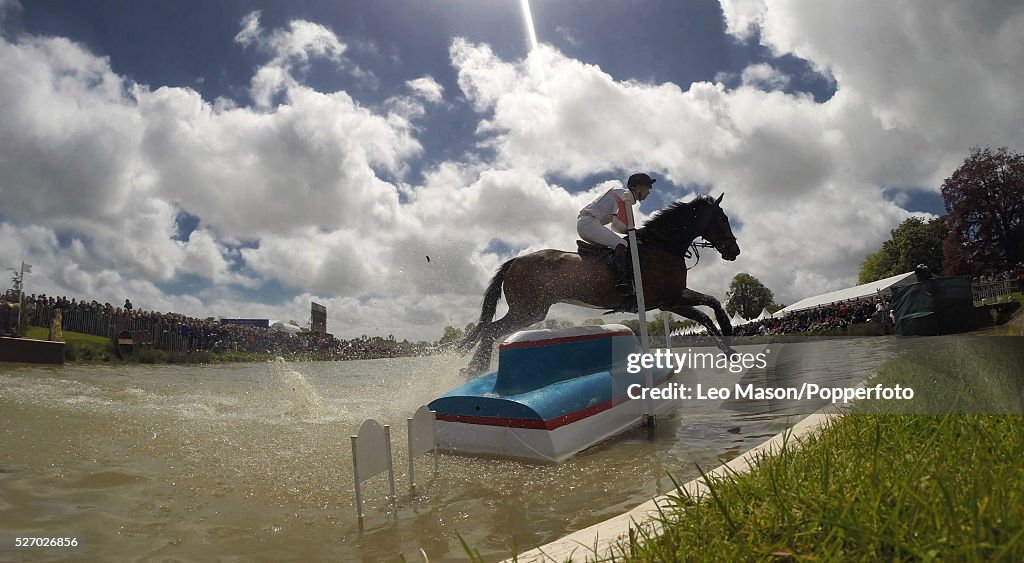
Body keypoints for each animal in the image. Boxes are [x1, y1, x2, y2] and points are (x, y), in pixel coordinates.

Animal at [460, 194, 741, 374]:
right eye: (722, 219)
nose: (734, 251)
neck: (663, 246)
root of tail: (515, 260)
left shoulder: (675, 296)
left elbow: (711, 305)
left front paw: (728, 344)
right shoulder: (669, 301)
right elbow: (705, 314)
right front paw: (729, 340)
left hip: (529, 311)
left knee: (491, 329)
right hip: (528, 310)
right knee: (491, 329)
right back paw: (475, 368)